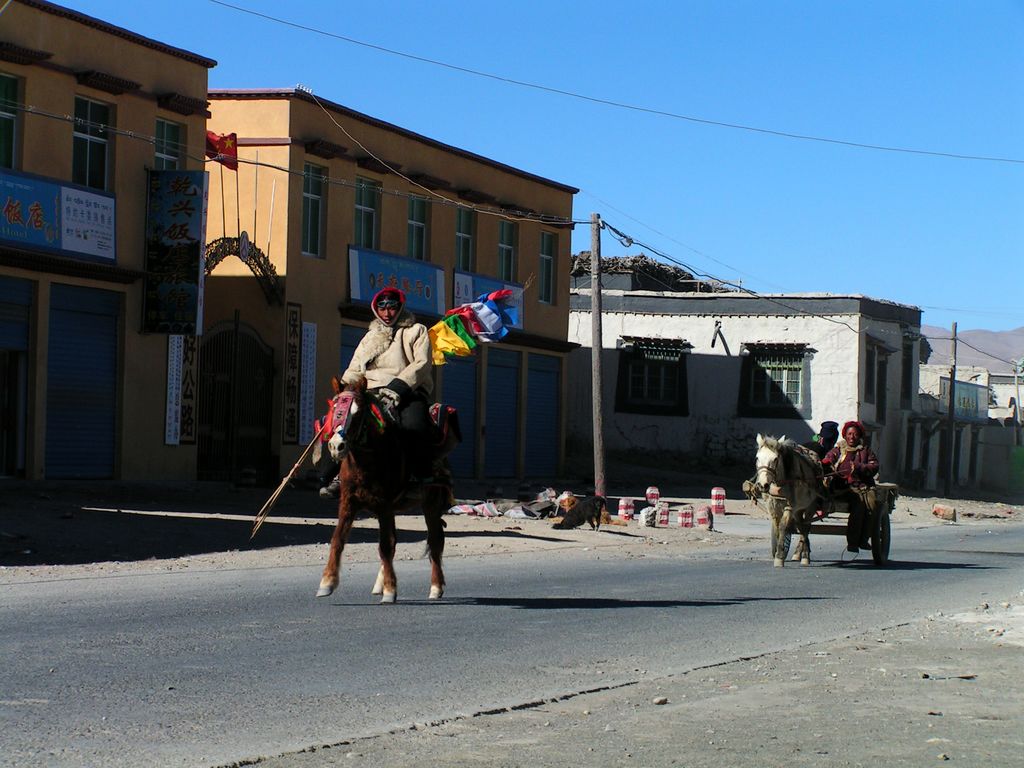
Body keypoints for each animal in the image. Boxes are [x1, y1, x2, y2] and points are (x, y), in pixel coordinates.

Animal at [317, 382, 450, 606]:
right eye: (334, 410)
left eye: (358, 413)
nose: (336, 446)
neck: (365, 462)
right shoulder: (348, 503)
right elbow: (337, 540)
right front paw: (327, 582)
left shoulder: (384, 504)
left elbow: (385, 546)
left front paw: (390, 590)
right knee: (397, 541)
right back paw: (379, 585)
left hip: (430, 502)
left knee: (434, 541)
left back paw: (436, 587)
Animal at [753, 436, 823, 569]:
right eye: (757, 458)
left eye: (775, 459)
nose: (763, 485)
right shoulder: (772, 507)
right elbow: (776, 527)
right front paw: (777, 551)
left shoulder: (789, 507)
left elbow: (783, 526)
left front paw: (779, 557)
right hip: (798, 510)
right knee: (801, 526)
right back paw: (800, 553)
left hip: (809, 506)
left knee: (806, 527)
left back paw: (805, 556)